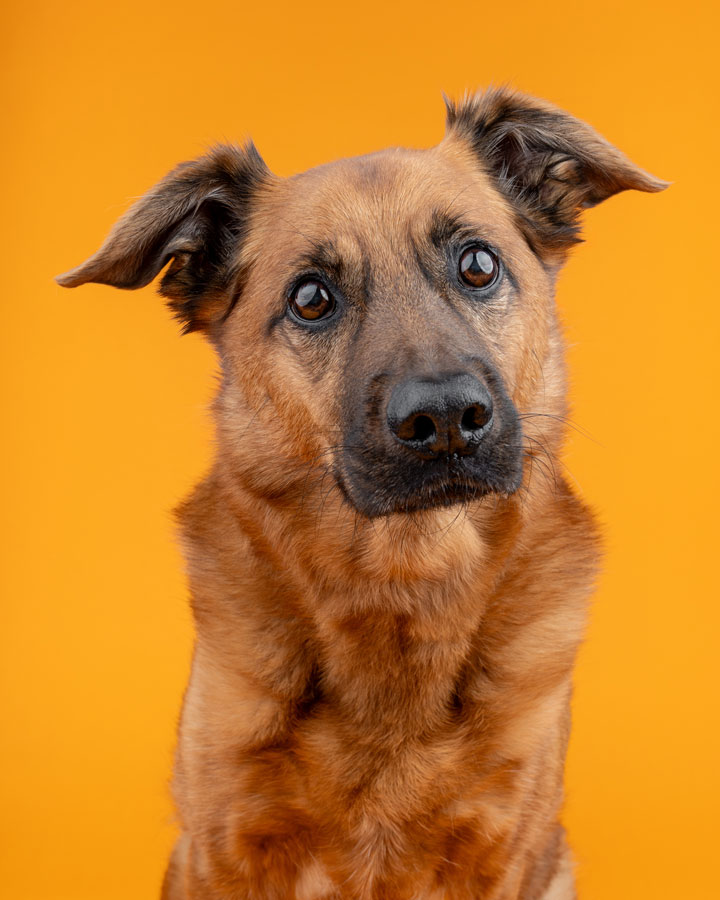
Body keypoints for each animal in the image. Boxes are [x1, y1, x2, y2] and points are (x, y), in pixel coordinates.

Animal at [59, 89, 668, 900]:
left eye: (479, 263)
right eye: (312, 298)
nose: (445, 418)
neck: (401, 584)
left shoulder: (506, 846)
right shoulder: (223, 846)